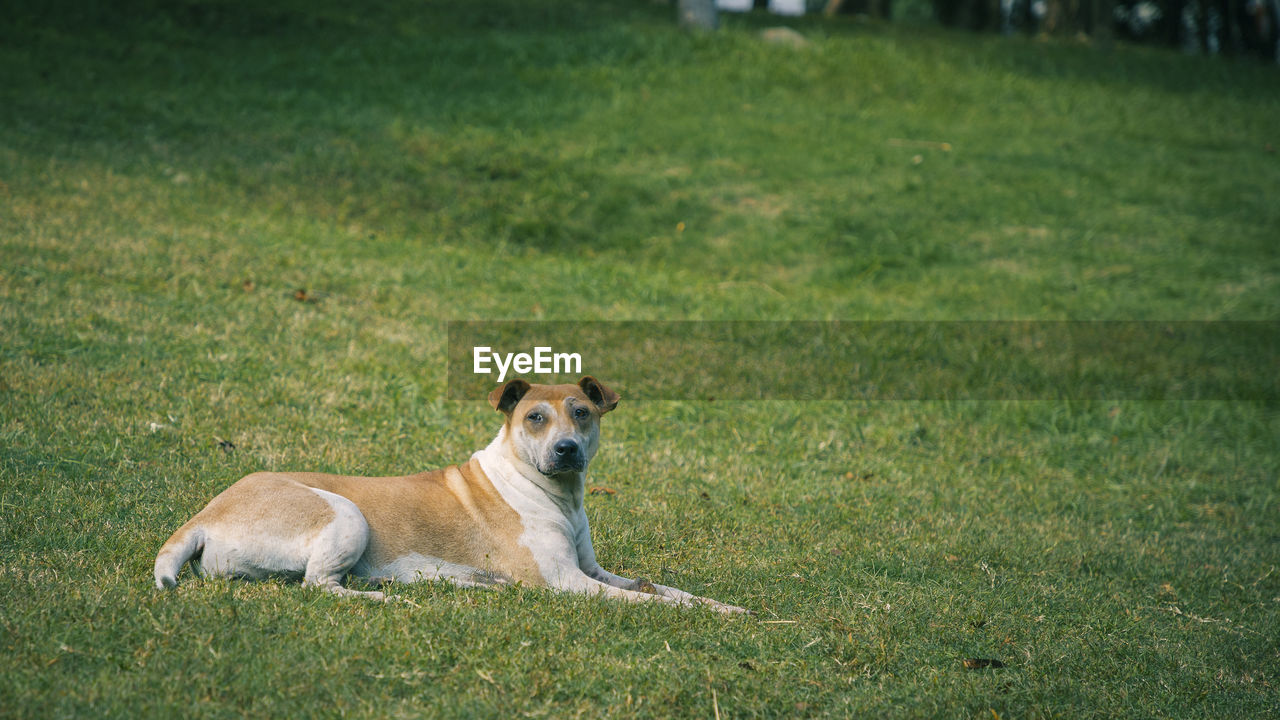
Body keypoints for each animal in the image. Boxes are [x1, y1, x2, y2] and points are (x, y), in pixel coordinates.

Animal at [151, 376, 747, 609]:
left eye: (582, 413)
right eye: (534, 418)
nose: (566, 450)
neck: (554, 494)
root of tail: (203, 515)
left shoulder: (594, 571)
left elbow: (665, 590)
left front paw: (725, 608)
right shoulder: (569, 583)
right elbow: (650, 603)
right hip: (345, 513)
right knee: (320, 586)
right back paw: (390, 600)